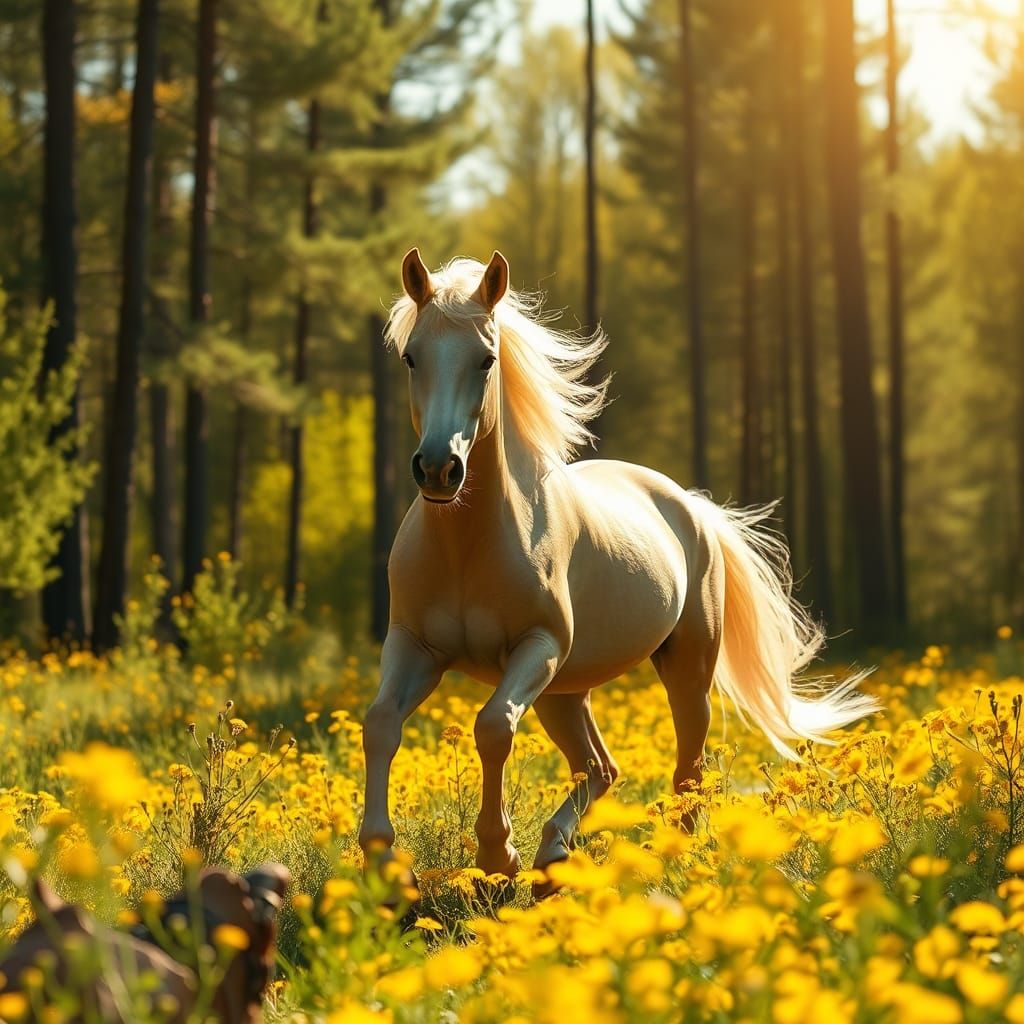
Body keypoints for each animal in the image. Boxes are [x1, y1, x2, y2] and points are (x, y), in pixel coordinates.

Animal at [357, 248, 876, 891]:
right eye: (411, 355)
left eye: (486, 359)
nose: (437, 469)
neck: (467, 545)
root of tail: (693, 506)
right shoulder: (415, 647)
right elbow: (381, 723)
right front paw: (382, 857)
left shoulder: (537, 647)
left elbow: (493, 727)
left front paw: (497, 855)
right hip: (563, 691)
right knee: (600, 768)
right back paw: (554, 854)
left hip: (681, 669)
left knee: (687, 767)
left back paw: (674, 855)